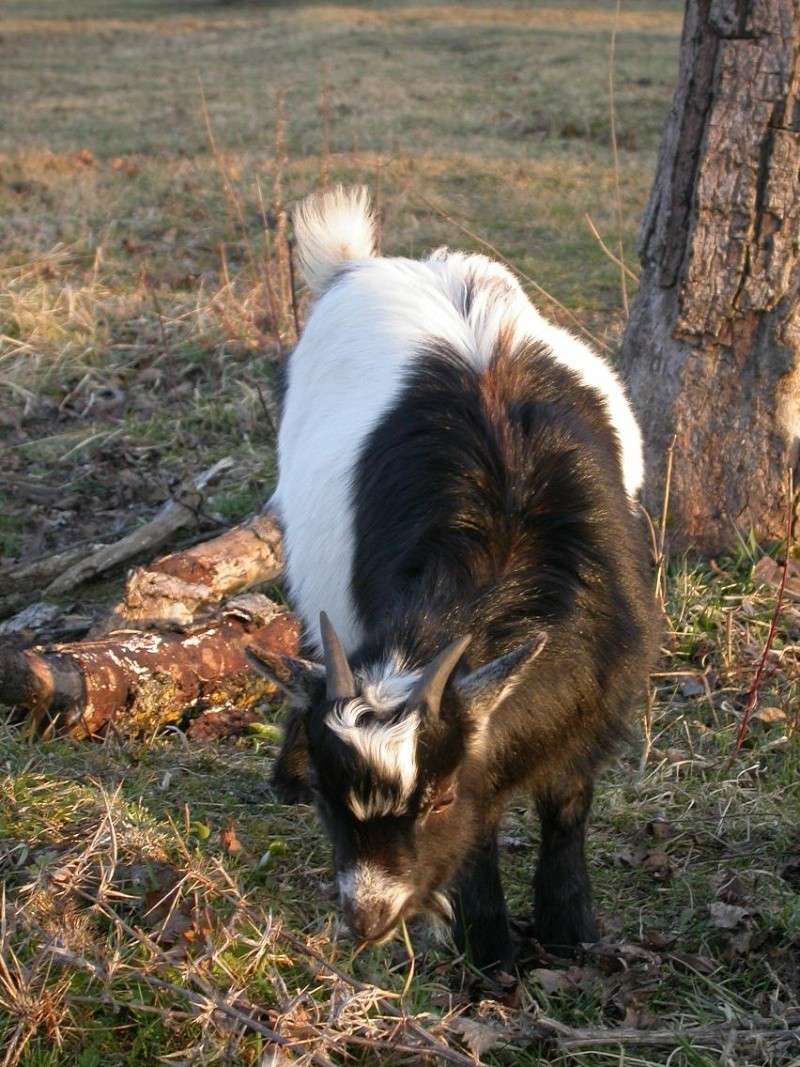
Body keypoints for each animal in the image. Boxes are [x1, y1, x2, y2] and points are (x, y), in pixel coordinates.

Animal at [249, 187, 657, 973]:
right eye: (329, 801)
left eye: (437, 800)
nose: (366, 918)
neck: (500, 548)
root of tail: (363, 265)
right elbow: (484, 833)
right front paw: (489, 953)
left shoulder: (596, 693)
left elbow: (567, 804)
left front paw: (571, 929)